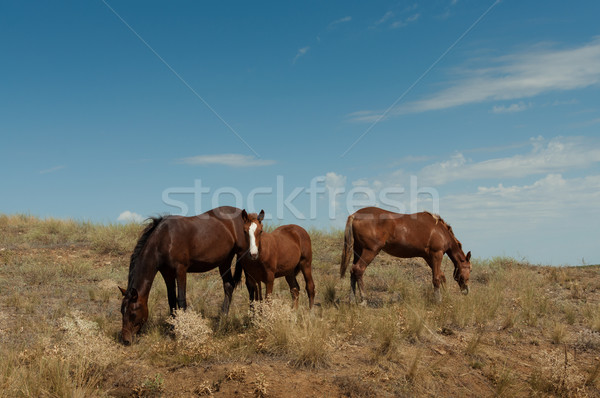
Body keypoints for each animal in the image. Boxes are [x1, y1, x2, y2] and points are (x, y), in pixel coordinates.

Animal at [118, 207, 250, 344]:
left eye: (133, 313)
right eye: (122, 311)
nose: (125, 340)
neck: (165, 238)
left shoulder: (180, 270)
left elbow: (181, 299)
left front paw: (184, 330)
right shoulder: (167, 274)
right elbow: (171, 300)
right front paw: (172, 329)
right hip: (225, 261)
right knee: (228, 286)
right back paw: (222, 321)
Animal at [340, 207, 472, 304]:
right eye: (470, 269)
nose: (466, 290)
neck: (440, 230)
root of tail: (355, 215)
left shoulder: (428, 257)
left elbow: (441, 275)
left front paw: (445, 295)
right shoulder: (436, 254)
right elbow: (436, 278)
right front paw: (438, 300)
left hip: (358, 250)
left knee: (352, 271)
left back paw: (352, 300)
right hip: (370, 251)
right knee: (358, 269)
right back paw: (364, 300)